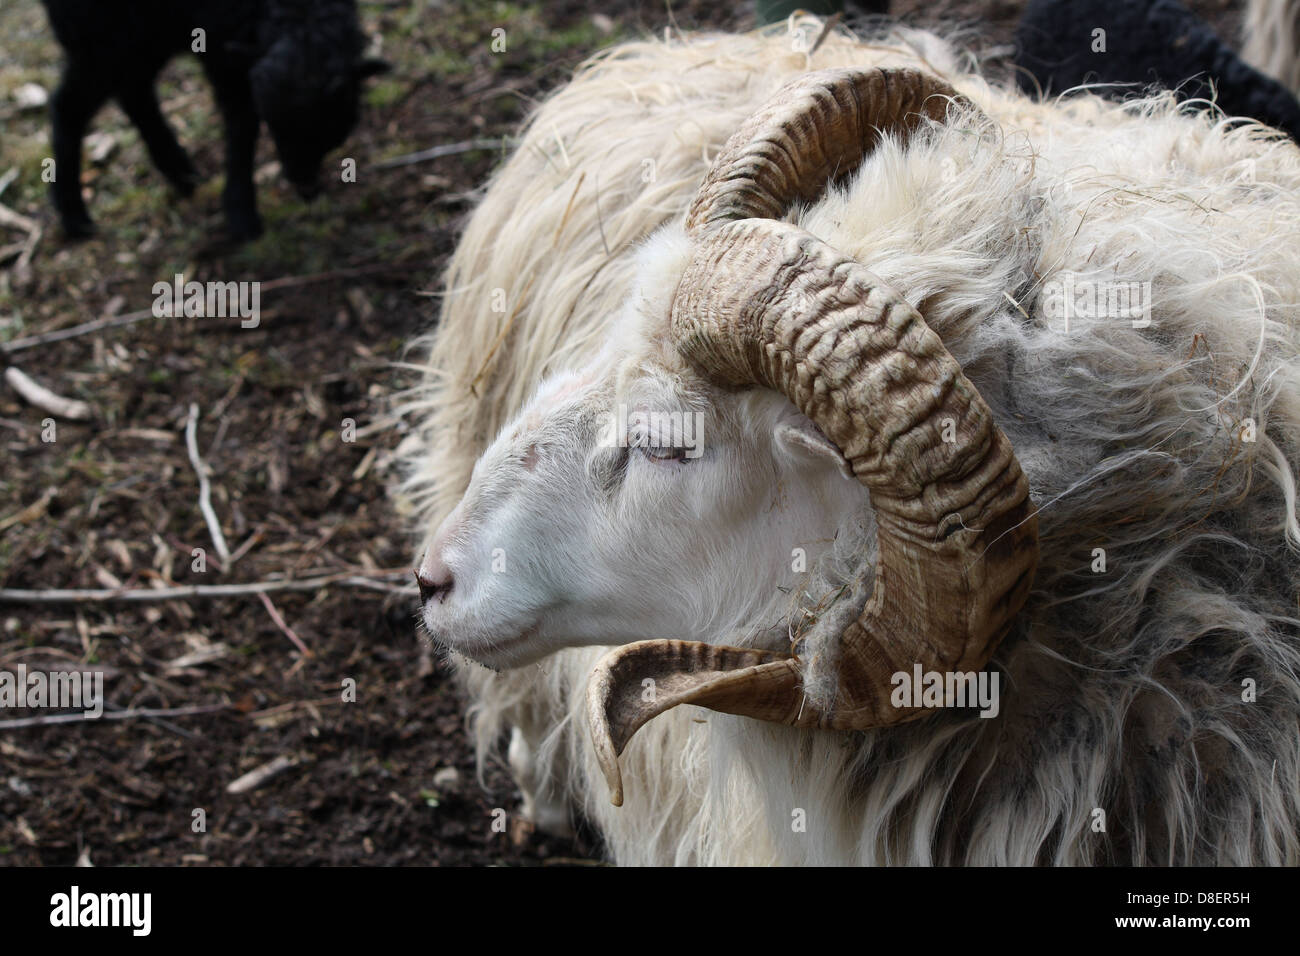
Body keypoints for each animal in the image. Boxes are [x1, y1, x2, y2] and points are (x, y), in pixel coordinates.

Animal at [41, 0, 390, 239]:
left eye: (331, 128)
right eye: (278, 126)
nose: (303, 183)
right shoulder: (221, 43)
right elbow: (241, 123)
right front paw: (241, 215)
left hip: (144, 36)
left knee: (135, 92)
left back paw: (181, 173)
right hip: (100, 38)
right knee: (68, 106)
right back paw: (74, 217)